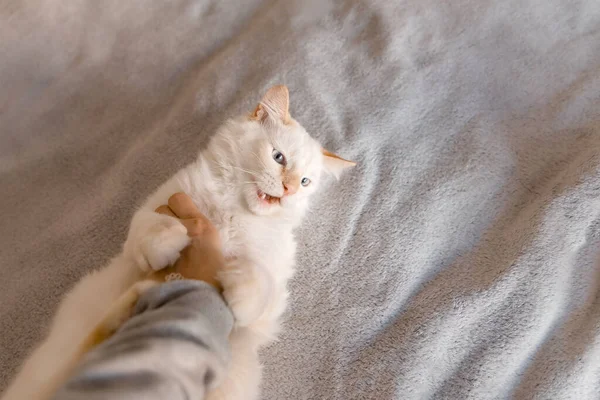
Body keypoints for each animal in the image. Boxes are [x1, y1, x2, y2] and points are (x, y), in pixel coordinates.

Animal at [0, 86, 354, 400]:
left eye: (305, 182)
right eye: (278, 157)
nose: (290, 189)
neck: (233, 211)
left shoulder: (271, 301)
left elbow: (261, 286)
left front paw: (241, 286)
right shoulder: (158, 207)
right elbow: (147, 227)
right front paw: (166, 242)